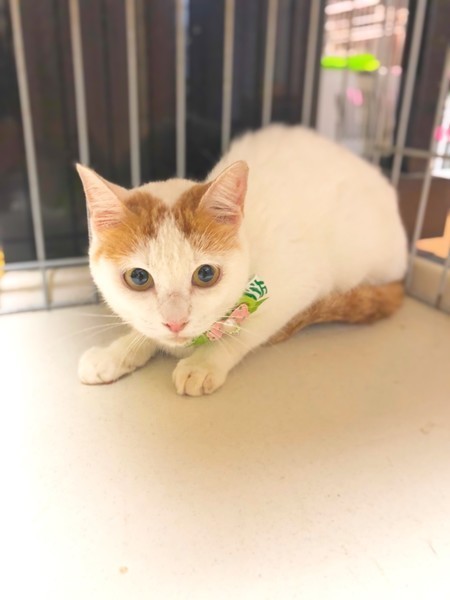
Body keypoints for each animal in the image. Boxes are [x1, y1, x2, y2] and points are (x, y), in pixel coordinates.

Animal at [77, 124, 407, 396]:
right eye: (138, 277)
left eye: (205, 274)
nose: (175, 322)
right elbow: (145, 330)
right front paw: (116, 352)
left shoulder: (300, 283)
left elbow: (248, 330)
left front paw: (205, 362)